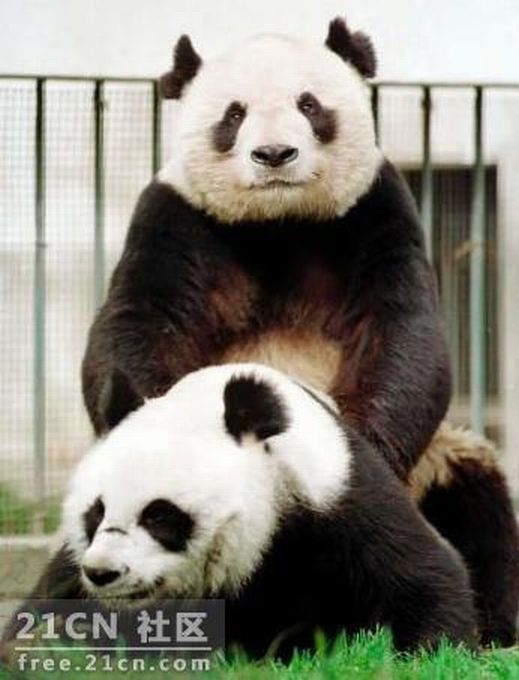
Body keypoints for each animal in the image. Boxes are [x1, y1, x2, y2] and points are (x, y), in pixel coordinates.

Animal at [3, 364, 477, 656]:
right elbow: (46, 611)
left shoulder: (337, 496)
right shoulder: (72, 569)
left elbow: (422, 575)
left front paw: (426, 654)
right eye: (96, 513)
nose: (103, 572)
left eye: (159, 515)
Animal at [76, 16, 516, 645]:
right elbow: (136, 322)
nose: (274, 154)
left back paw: (495, 629)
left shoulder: (374, 209)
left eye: (309, 105)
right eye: (233, 114)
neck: (279, 222)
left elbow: (404, 331)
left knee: (478, 500)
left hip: (438, 467)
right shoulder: (176, 216)